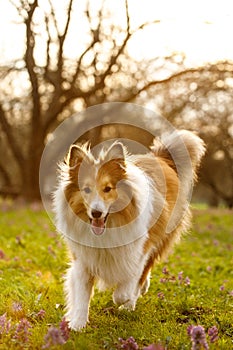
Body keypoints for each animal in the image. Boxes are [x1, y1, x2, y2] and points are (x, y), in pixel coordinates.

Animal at [52, 129, 204, 330]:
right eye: (86, 189)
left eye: (108, 188)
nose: (96, 213)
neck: (109, 228)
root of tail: (159, 157)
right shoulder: (83, 259)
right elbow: (82, 294)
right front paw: (77, 323)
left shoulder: (138, 250)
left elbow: (125, 288)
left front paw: (126, 300)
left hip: (161, 237)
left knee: (144, 271)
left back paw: (133, 299)